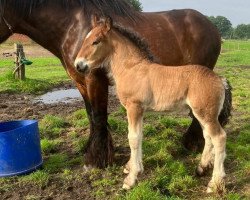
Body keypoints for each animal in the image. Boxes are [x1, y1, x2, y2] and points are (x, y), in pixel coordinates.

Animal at [73, 16, 227, 192]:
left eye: (96, 41)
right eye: (85, 39)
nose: (78, 65)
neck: (131, 68)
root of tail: (220, 80)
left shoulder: (133, 107)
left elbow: (133, 138)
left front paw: (130, 179)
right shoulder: (140, 110)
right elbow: (139, 136)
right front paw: (134, 168)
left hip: (206, 115)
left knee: (219, 138)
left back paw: (215, 183)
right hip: (202, 114)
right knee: (208, 137)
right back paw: (201, 168)